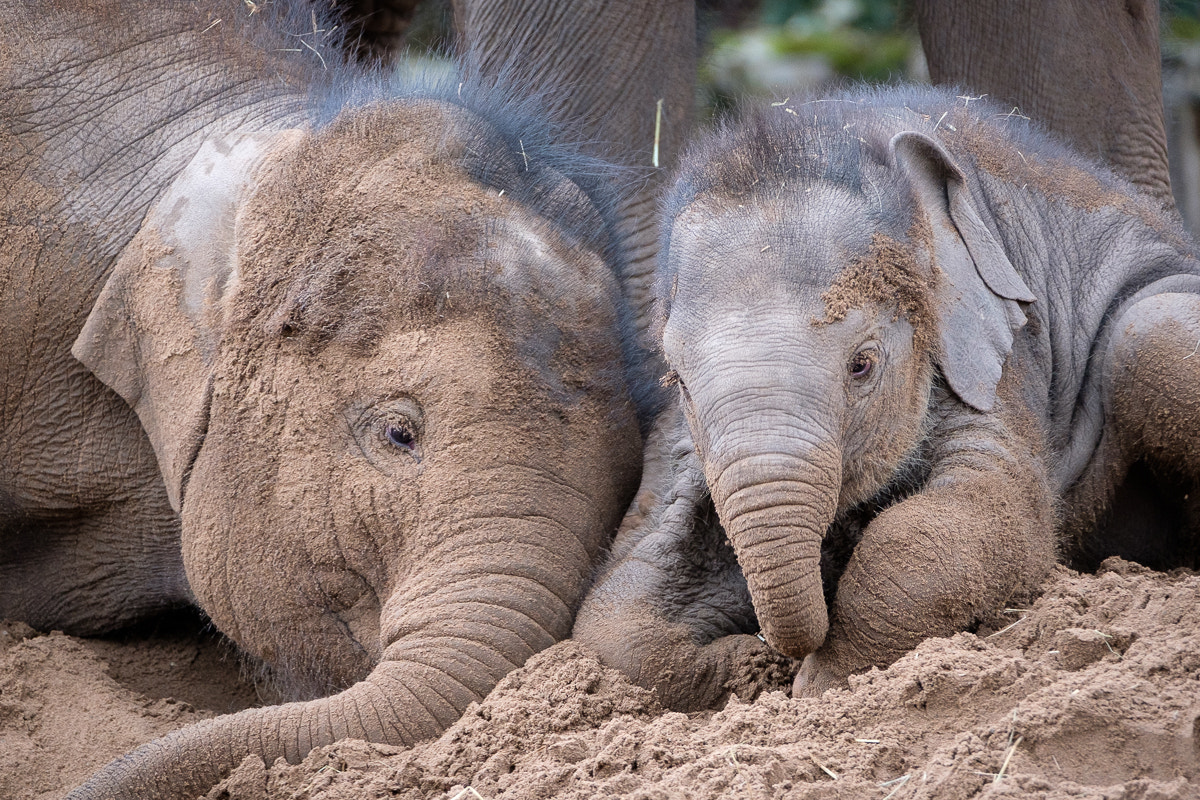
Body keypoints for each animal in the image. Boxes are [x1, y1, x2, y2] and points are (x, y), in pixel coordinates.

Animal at [571, 84, 1200, 705]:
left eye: (862, 365)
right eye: (677, 381)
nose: (772, 658)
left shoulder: (994, 354)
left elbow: (988, 517)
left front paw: (822, 683)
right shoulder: (675, 447)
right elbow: (618, 608)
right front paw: (744, 665)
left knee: (1148, 331)